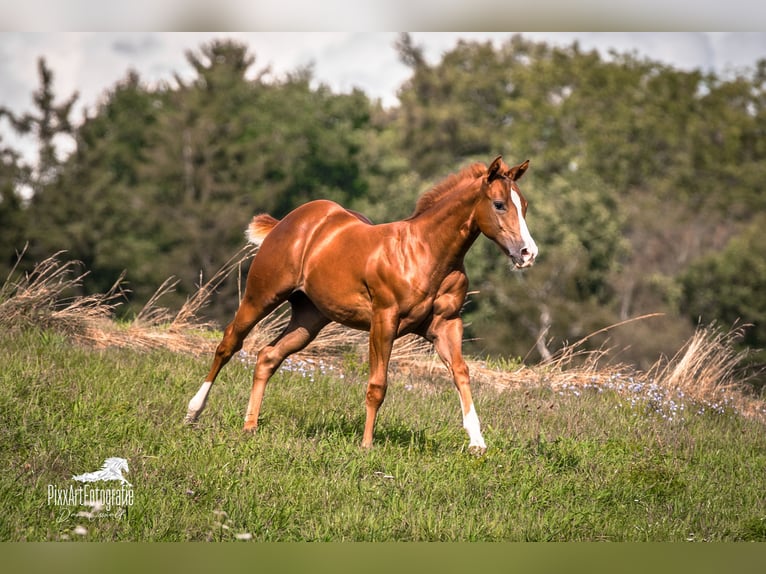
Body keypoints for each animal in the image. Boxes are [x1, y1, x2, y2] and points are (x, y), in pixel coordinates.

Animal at [185, 155, 538, 453]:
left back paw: (250, 426)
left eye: (524, 205)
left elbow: (461, 373)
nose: (528, 253)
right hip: (262, 295)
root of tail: (289, 221)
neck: (426, 252)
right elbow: (377, 384)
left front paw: (477, 442)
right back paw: (193, 412)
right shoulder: (384, 320)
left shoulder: (446, 324)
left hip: (309, 318)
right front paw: (367, 445)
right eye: (499, 204)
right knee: (229, 344)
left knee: (268, 356)